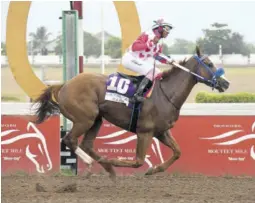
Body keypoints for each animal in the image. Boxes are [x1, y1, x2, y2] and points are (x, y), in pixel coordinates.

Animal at [33, 46, 229, 179]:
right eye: (209, 63)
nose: (226, 83)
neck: (165, 93)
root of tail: (64, 85)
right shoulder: (145, 132)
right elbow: (138, 161)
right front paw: (117, 160)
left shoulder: (161, 132)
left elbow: (177, 152)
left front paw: (154, 169)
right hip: (84, 119)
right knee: (69, 140)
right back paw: (93, 163)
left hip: (96, 119)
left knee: (86, 144)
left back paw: (106, 167)